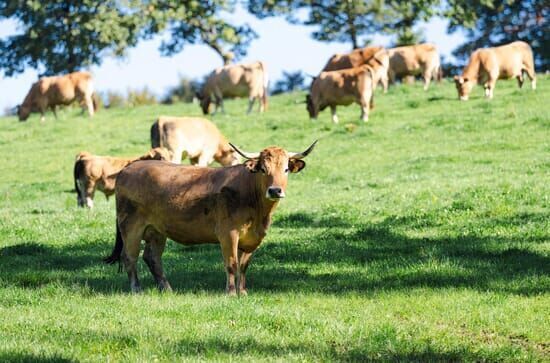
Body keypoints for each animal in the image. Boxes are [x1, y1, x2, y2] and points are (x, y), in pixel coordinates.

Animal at [104, 141, 320, 294]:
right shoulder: (228, 234)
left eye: (285, 169)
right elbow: (232, 264)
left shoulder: (252, 238)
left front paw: (243, 292)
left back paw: (167, 289)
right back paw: (137, 289)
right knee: (129, 257)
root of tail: (128, 168)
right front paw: (231, 293)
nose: (275, 190)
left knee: (152, 257)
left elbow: (244, 266)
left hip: (157, 230)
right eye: (263, 169)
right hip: (131, 226)